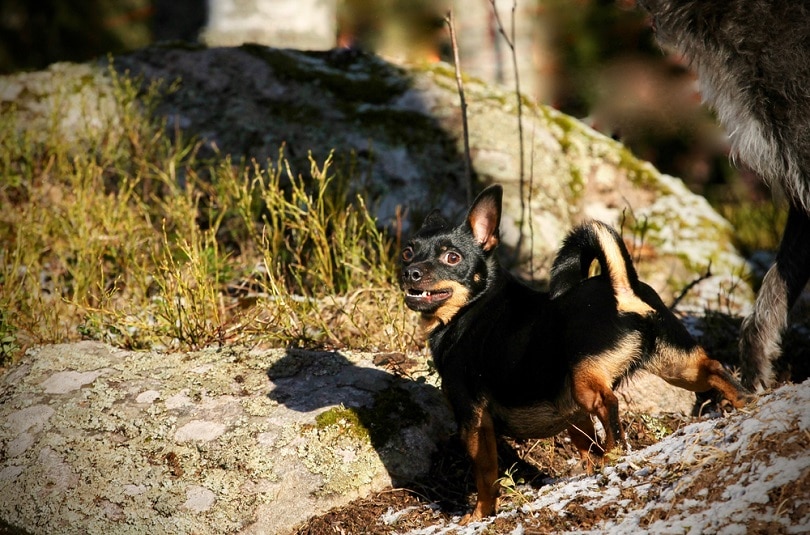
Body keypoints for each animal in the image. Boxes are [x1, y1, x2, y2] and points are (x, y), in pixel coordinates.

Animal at [400, 184, 748, 524]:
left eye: (452, 257)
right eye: (408, 252)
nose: (410, 272)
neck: (471, 307)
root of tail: (620, 287)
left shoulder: (473, 420)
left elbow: (485, 474)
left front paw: (478, 515)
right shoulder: (571, 413)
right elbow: (583, 444)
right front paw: (589, 468)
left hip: (587, 381)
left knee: (610, 404)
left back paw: (613, 454)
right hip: (679, 365)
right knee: (714, 368)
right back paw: (747, 403)